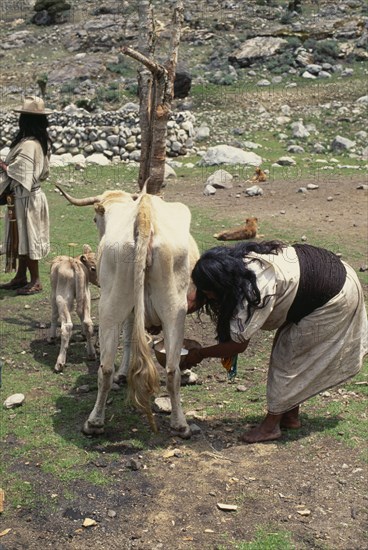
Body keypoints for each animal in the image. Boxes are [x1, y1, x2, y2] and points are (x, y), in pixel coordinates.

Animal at [48, 246, 98, 376]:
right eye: (93, 268)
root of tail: (73, 263)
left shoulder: (53, 294)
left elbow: (54, 315)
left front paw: (51, 337)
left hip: (62, 298)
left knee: (66, 326)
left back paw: (59, 363)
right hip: (86, 295)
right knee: (88, 322)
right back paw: (91, 353)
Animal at [56, 188, 200, 442]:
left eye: (95, 219)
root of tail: (143, 217)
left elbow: (128, 340)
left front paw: (122, 373)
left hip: (112, 305)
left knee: (107, 367)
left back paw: (94, 422)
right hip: (173, 311)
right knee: (170, 369)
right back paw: (180, 424)